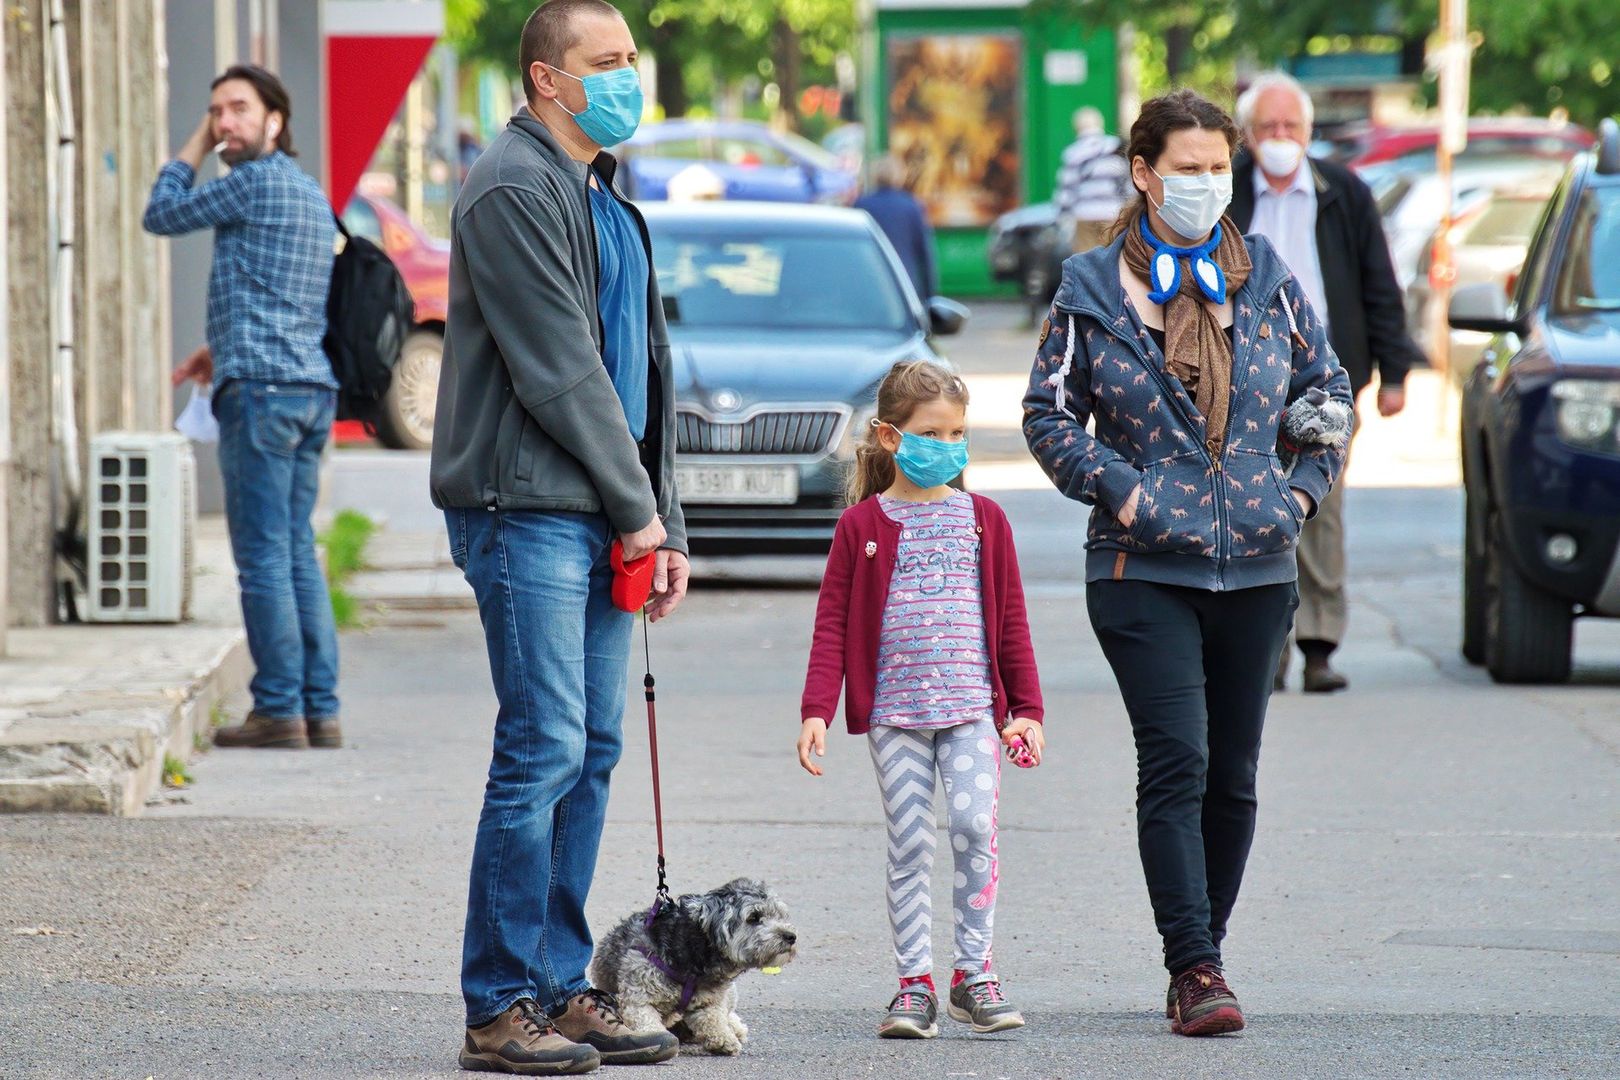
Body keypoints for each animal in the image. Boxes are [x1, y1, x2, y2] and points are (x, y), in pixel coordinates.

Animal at [592, 880, 800, 1055]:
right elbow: (646, 1020)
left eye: (779, 915)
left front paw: (724, 1038)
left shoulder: (708, 1000)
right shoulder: (638, 996)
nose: (791, 936)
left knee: (729, 1013)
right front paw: (657, 1037)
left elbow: (712, 1018)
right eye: (754, 917)